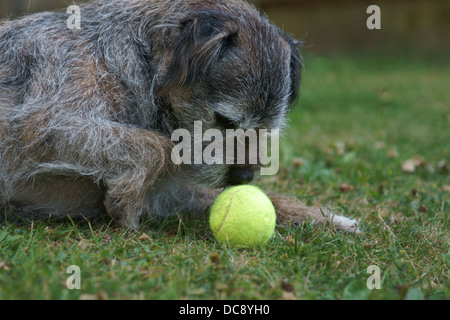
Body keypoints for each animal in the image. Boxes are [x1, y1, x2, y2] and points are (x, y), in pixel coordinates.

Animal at [0, 0, 358, 231]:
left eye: (267, 130)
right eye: (226, 122)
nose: (244, 177)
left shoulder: (168, 194)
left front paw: (326, 217)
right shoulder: (40, 125)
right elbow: (157, 147)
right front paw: (127, 201)